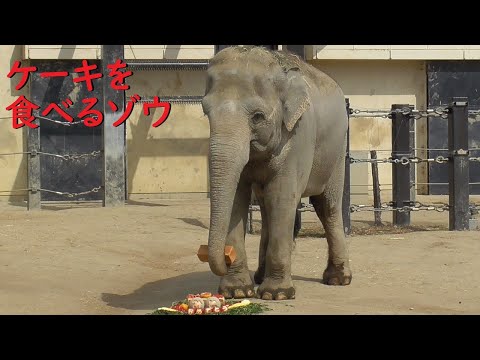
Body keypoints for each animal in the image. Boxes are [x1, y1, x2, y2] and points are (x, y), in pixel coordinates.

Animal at [202, 45, 352, 300]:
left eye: (258, 116)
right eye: (205, 112)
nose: (225, 256)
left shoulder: (298, 136)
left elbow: (282, 197)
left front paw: (277, 294)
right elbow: (237, 198)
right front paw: (237, 291)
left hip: (337, 151)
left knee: (326, 206)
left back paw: (338, 279)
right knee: (266, 207)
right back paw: (259, 276)